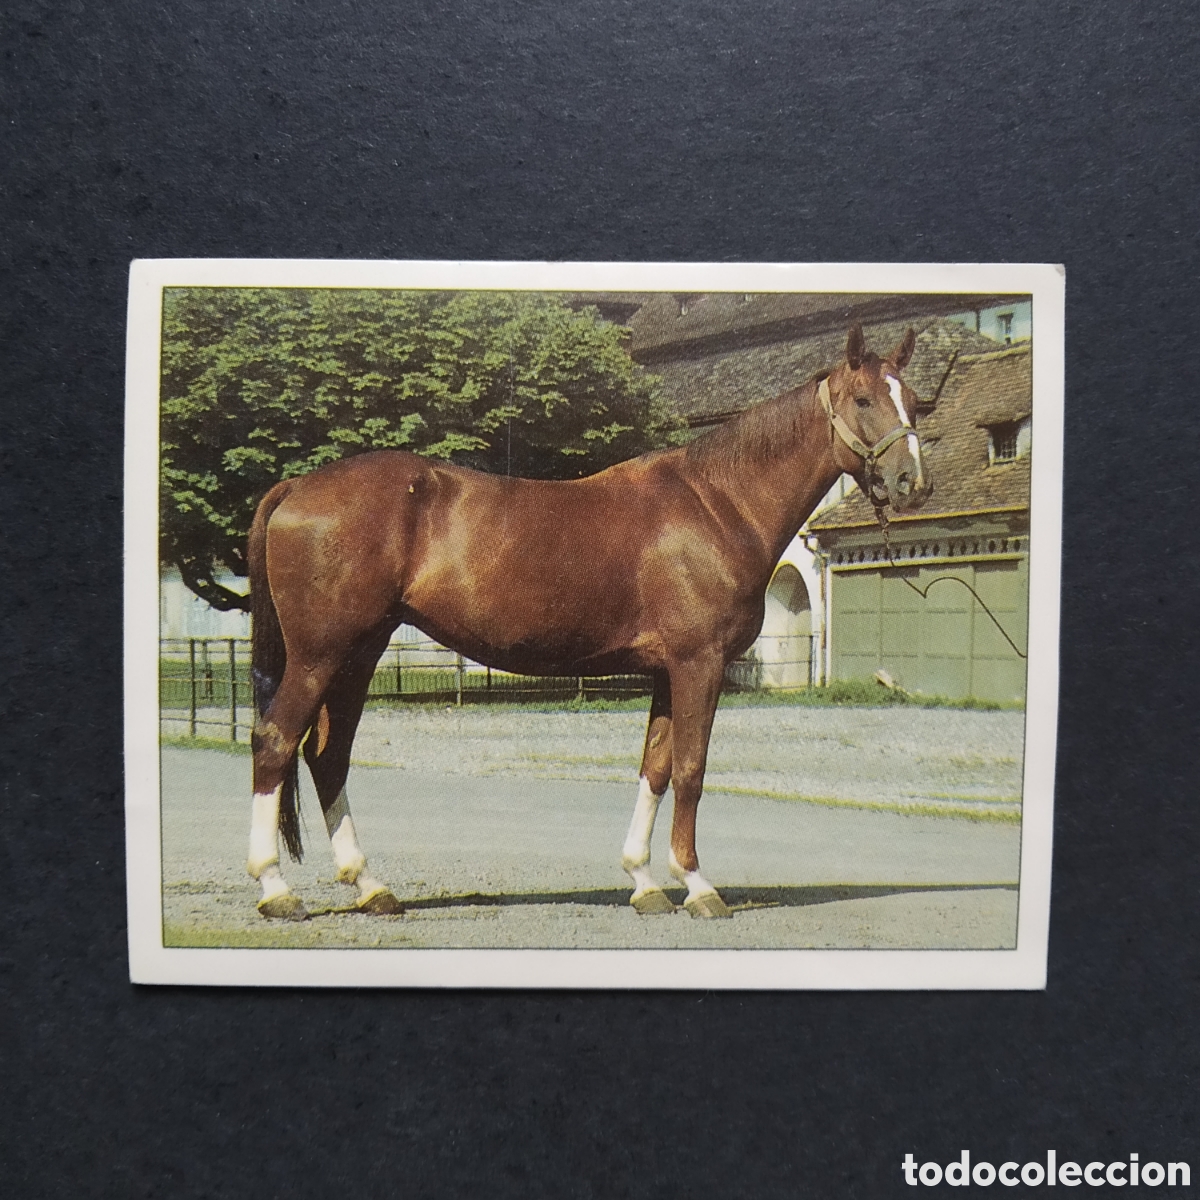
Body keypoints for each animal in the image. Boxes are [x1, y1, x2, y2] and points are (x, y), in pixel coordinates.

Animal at [245, 322, 930, 921]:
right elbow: (691, 769)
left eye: (916, 402)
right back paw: (276, 890)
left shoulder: (667, 673)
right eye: (864, 398)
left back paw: (371, 887)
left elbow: (655, 768)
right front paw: (698, 886)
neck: (717, 502)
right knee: (275, 741)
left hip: (359, 654)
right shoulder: (699, 664)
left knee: (328, 756)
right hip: (320, 655)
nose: (911, 482)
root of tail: (298, 486)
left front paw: (644, 882)